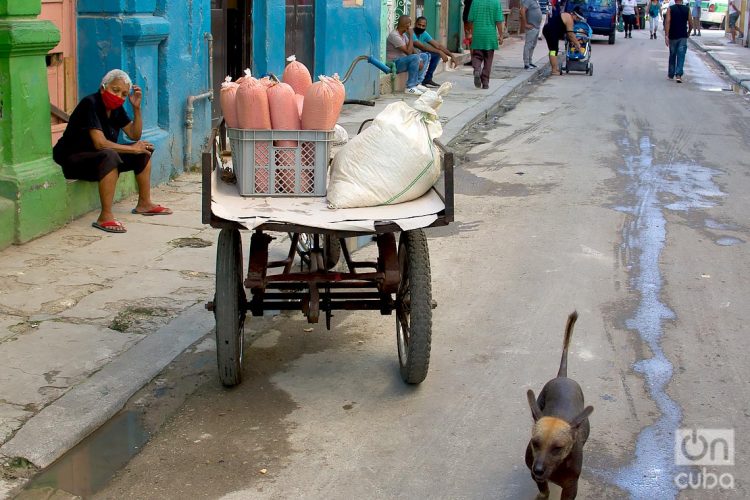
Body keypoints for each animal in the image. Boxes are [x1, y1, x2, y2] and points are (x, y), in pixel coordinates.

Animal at [528, 310, 592, 498]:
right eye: (535, 443)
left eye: (558, 448)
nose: (538, 470)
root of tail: (563, 376)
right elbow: (543, 489)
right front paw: (542, 494)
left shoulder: (571, 487)